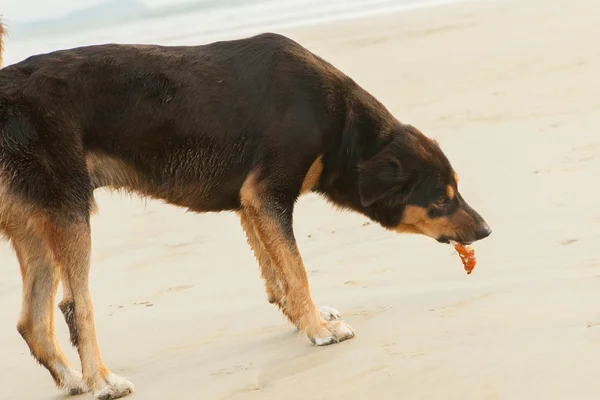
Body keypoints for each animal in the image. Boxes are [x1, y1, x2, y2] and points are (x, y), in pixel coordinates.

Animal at [0, 22, 490, 400]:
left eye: (456, 190)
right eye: (441, 198)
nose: (486, 230)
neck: (341, 125)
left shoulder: (250, 204)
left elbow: (279, 278)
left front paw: (304, 319)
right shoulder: (267, 196)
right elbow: (297, 270)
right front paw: (319, 329)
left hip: (36, 226)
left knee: (32, 322)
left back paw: (73, 381)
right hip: (70, 211)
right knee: (73, 305)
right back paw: (101, 381)